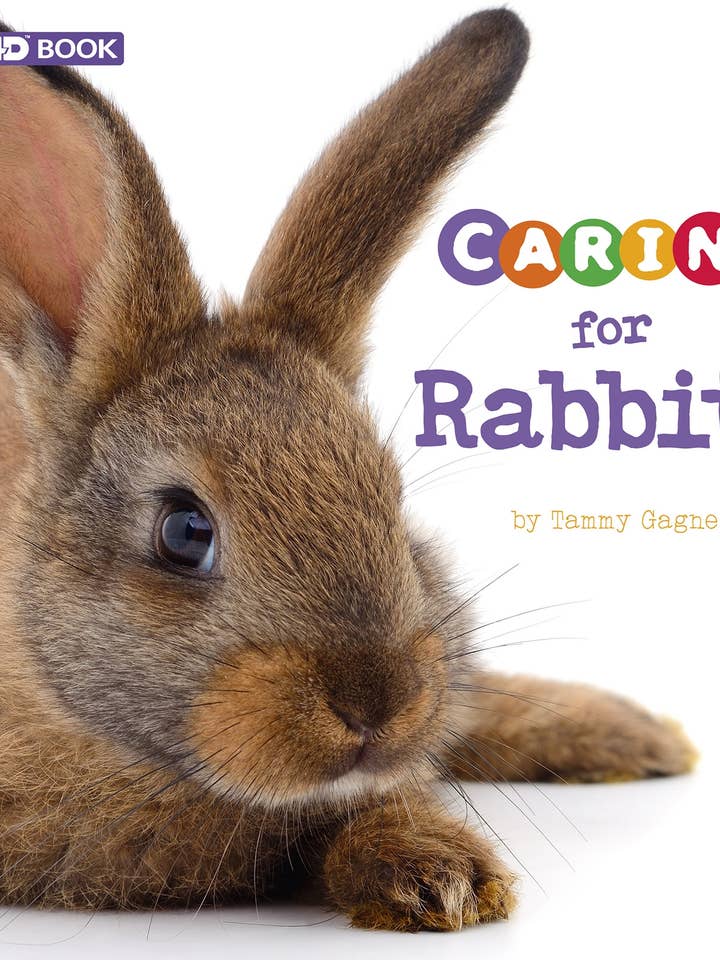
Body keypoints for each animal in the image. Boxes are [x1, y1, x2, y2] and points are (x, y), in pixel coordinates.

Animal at [0, 8, 696, 933]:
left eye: (393, 508)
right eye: (184, 531)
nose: (379, 707)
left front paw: (443, 878)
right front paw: (443, 879)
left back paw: (637, 735)